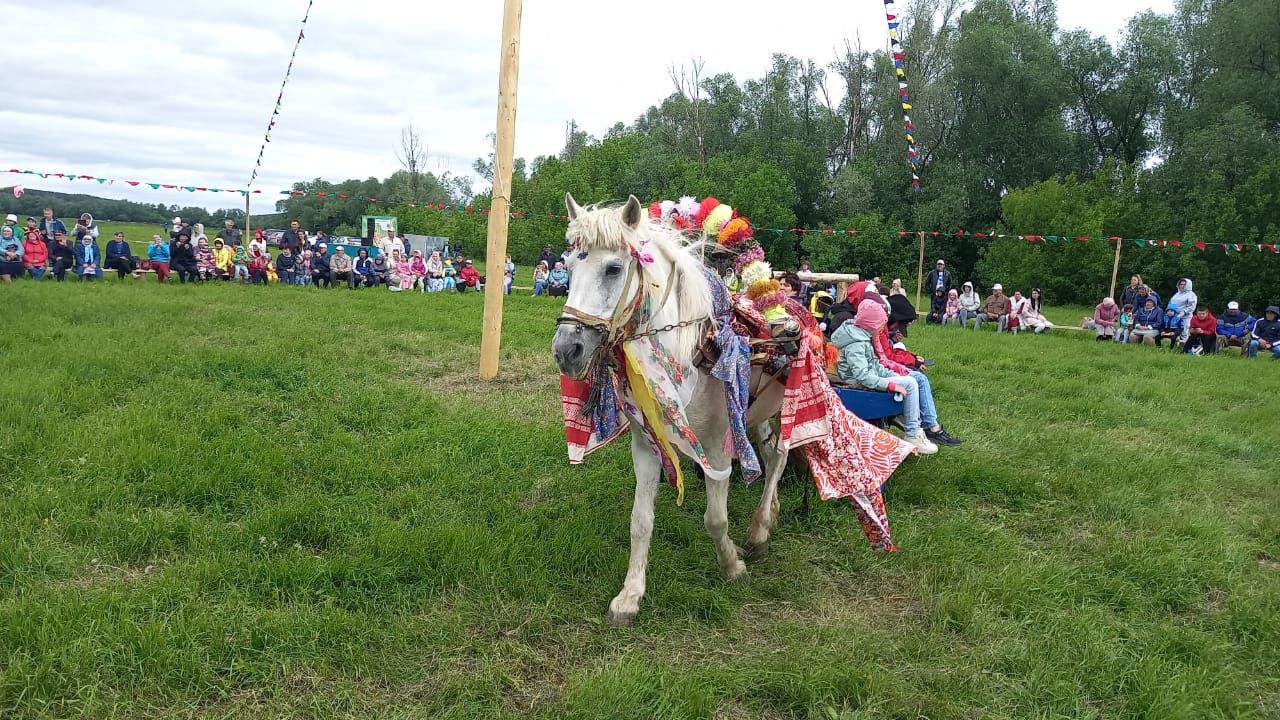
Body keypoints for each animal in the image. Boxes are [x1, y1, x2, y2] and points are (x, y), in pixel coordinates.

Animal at [550, 192, 788, 622]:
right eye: (571, 265)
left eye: (613, 268)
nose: (566, 351)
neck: (686, 356)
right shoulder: (646, 446)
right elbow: (640, 521)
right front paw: (630, 595)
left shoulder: (718, 450)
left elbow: (715, 518)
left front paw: (732, 564)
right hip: (755, 417)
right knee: (771, 455)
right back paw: (769, 515)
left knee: (780, 458)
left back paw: (759, 531)